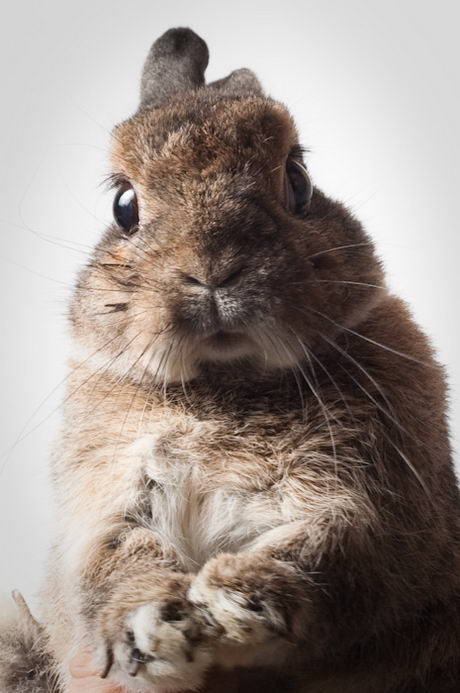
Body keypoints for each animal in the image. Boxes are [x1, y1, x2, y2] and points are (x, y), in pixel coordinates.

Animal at [2, 25, 460, 693]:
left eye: (299, 179)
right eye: (124, 206)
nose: (212, 269)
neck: (228, 381)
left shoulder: (380, 512)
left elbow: (334, 550)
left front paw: (232, 600)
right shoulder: (106, 503)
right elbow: (115, 563)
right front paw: (153, 623)